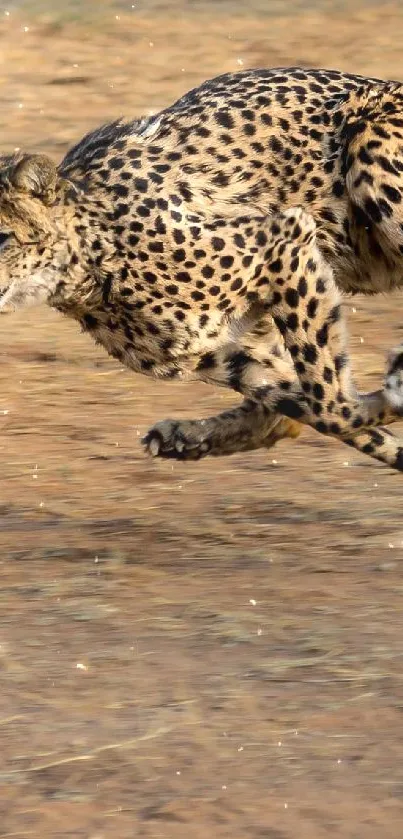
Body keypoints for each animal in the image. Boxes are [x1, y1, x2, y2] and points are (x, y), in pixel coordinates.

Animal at [0, 66, 403, 470]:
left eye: (3, 237)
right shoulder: (232, 351)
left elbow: (330, 404)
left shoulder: (284, 239)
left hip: (369, 147)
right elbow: (317, 409)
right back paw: (185, 437)